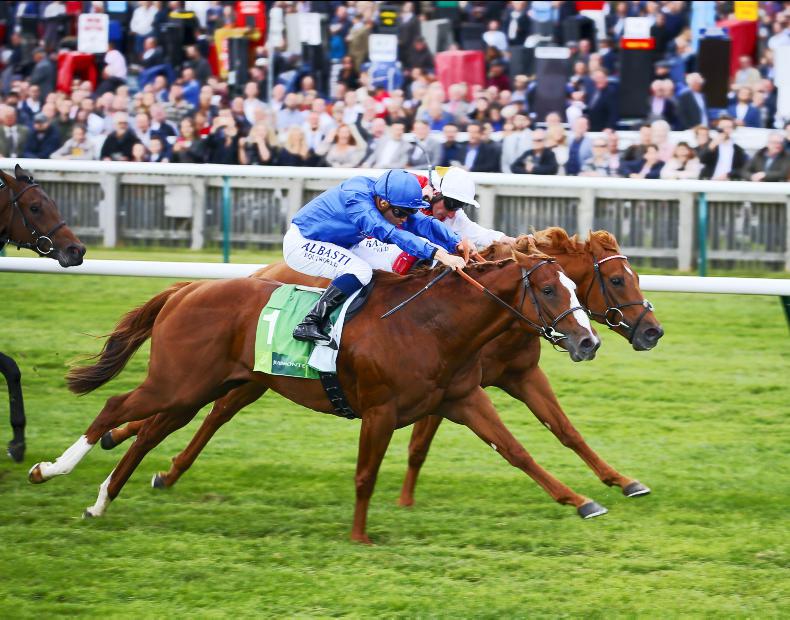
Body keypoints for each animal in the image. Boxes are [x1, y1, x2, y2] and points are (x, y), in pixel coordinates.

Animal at [30, 242, 603, 543]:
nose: (589, 341)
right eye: (548, 290)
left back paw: (101, 502)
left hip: (196, 389)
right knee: (115, 407)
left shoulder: (462, 399)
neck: (427, 323)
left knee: (149, 432)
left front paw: (582, 501)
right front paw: (360, 537)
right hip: (176, 381)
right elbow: (365, 475)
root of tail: (186, 289)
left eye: (576, 290)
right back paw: (50, 470)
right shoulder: (379, 409)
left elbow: (518, 451)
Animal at [104, 228, 661, 505]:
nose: (652, 331)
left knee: (200, 411)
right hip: (246, 375)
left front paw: (623, 481)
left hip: (251, 376)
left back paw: (136, 454)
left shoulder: (516, 376)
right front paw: (404, 499)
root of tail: (260, 272)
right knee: (203, 412)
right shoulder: (462, 383)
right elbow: (421, 444)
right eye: (616, 280)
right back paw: (141, 457)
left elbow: (565, 431)